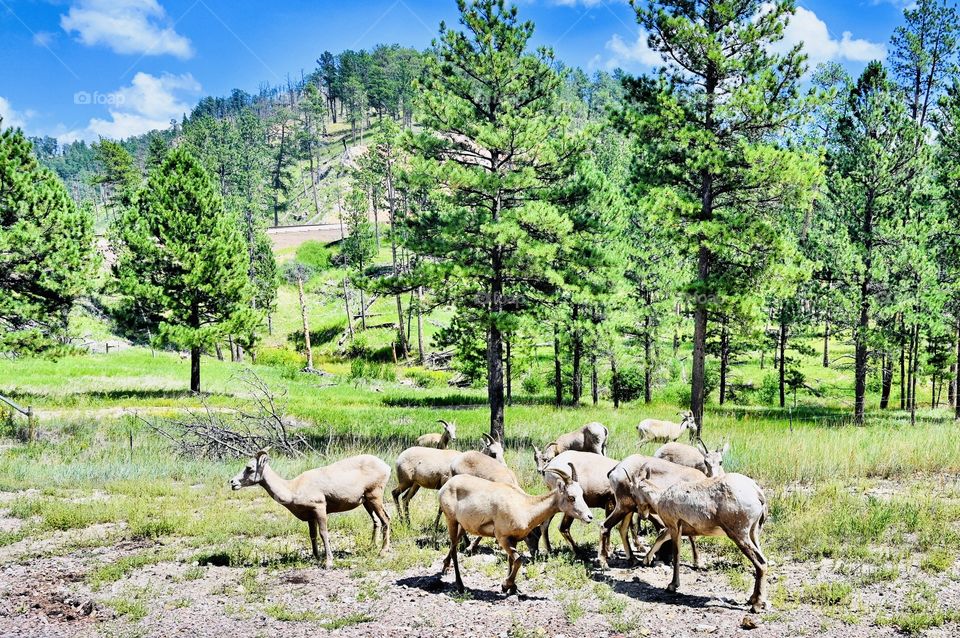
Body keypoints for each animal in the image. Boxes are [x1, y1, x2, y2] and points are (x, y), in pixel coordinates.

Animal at [230, 450, 390, 568]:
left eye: (249, 468)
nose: (232, 482)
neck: (292, 489)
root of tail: (386, 466)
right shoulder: (310, 516)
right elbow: (312, 536)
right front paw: (316, 558)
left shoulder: (319, 509)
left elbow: (323, 534)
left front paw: (328, 562)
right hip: (366, 502)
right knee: (377, 521)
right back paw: (371, 548)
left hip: (375, 497)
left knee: (386, 519)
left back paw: (382, 552)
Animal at [439, 465, 593, 594]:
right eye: (571, 497)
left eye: (582, 494)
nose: (589, 517)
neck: (525, 507)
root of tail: (446, 486)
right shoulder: (502, 538)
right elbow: (518, 560)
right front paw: (506, 585)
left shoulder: (514, 540)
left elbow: (511, 561)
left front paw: (510, 588)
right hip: (451, 520)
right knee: (454, 549)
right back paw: (460, 585)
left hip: (462, 525)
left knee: (454, 544)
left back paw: (445, 567)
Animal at [630, 471, 769, 612]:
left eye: (633, 493)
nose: (642, 515)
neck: (660, 498)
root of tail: (757, 493)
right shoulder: (674, 529)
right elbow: (661, 537)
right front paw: (646, 560)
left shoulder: (674, 527)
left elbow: (676, 555)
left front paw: (672, 586)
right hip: (753, 533)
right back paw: (753, 599)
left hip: (739, 534)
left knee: (761, 562)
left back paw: (756, 605)